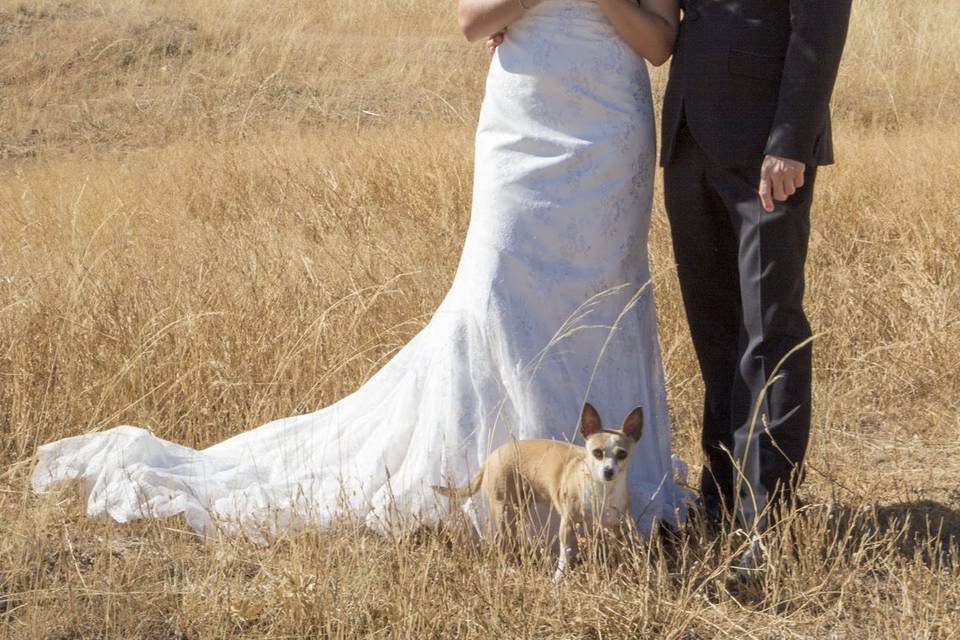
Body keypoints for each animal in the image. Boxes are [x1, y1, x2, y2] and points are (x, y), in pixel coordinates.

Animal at [436, 404, 644, 580]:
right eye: (597, 453)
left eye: (622, 454)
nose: (608, 471)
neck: (602, 490)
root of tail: (490, 458)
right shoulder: (567, 524)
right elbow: (565, 554)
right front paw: (558, 579)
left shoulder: (616, 527)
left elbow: (619, 551)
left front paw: (624, 572)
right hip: (505, 511)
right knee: (501, 542)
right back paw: (508, 569)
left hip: (518, 507)